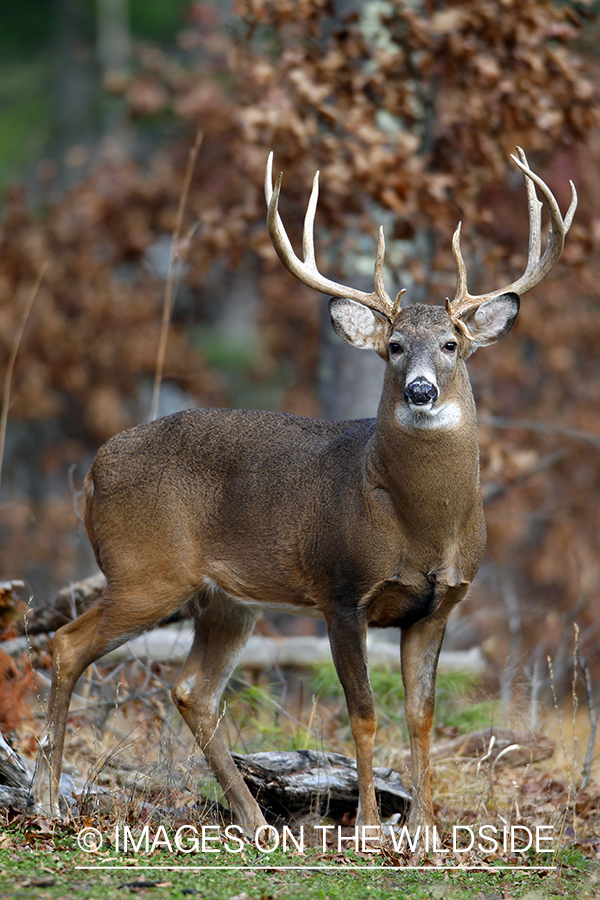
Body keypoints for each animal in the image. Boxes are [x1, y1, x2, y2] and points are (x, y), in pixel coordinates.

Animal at [31, 149, 576, 836]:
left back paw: (256, 822)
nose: (421, 390)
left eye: (452, 345)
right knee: (67, 643)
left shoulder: (438, 605)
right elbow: (363, 713)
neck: (423, 526)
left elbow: (421, 717)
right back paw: (47, 804)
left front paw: (425, 830)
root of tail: (95, 468)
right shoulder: (342, 591)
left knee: (192, 689)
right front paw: (369, 828)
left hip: (227, 599)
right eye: (394, 347)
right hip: (145, 570)